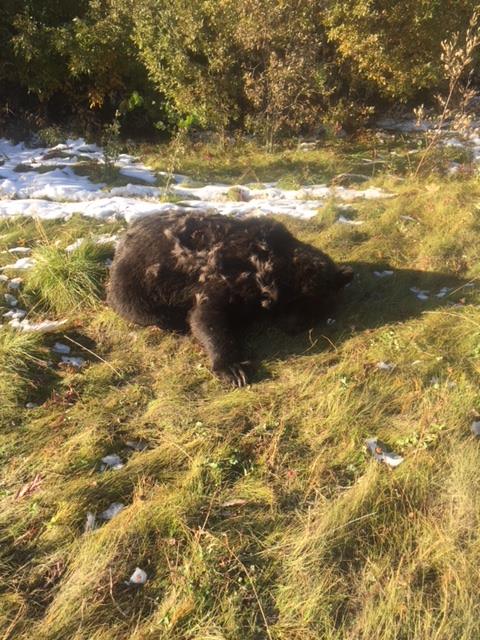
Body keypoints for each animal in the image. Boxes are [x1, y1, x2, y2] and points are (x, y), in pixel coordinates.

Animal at [108, 214, 352, 384]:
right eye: (300, 299)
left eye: (320, 307)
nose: (295, 327)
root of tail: (123, 239)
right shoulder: (224, 278)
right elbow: (206, 318)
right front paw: (233, 369)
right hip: (134, 283)